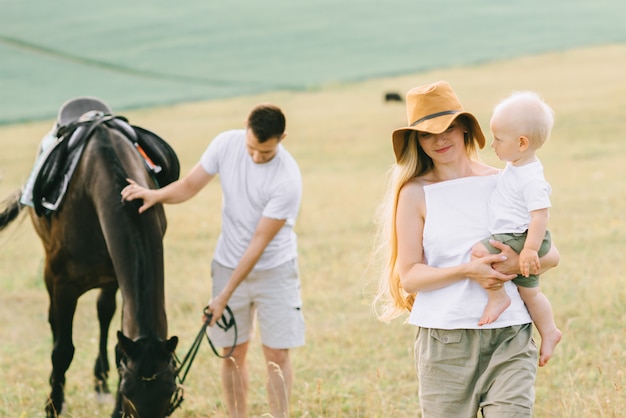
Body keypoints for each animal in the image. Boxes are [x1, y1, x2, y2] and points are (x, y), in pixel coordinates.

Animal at [0, 99, 180, 418]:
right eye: (129, 392)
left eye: (170, 394)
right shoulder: (62, 282)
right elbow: (62, 350)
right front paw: (53, 404)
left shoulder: (118, 278)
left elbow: (117, 341)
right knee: (55, 322)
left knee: (104, 313)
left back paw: (99, 381)